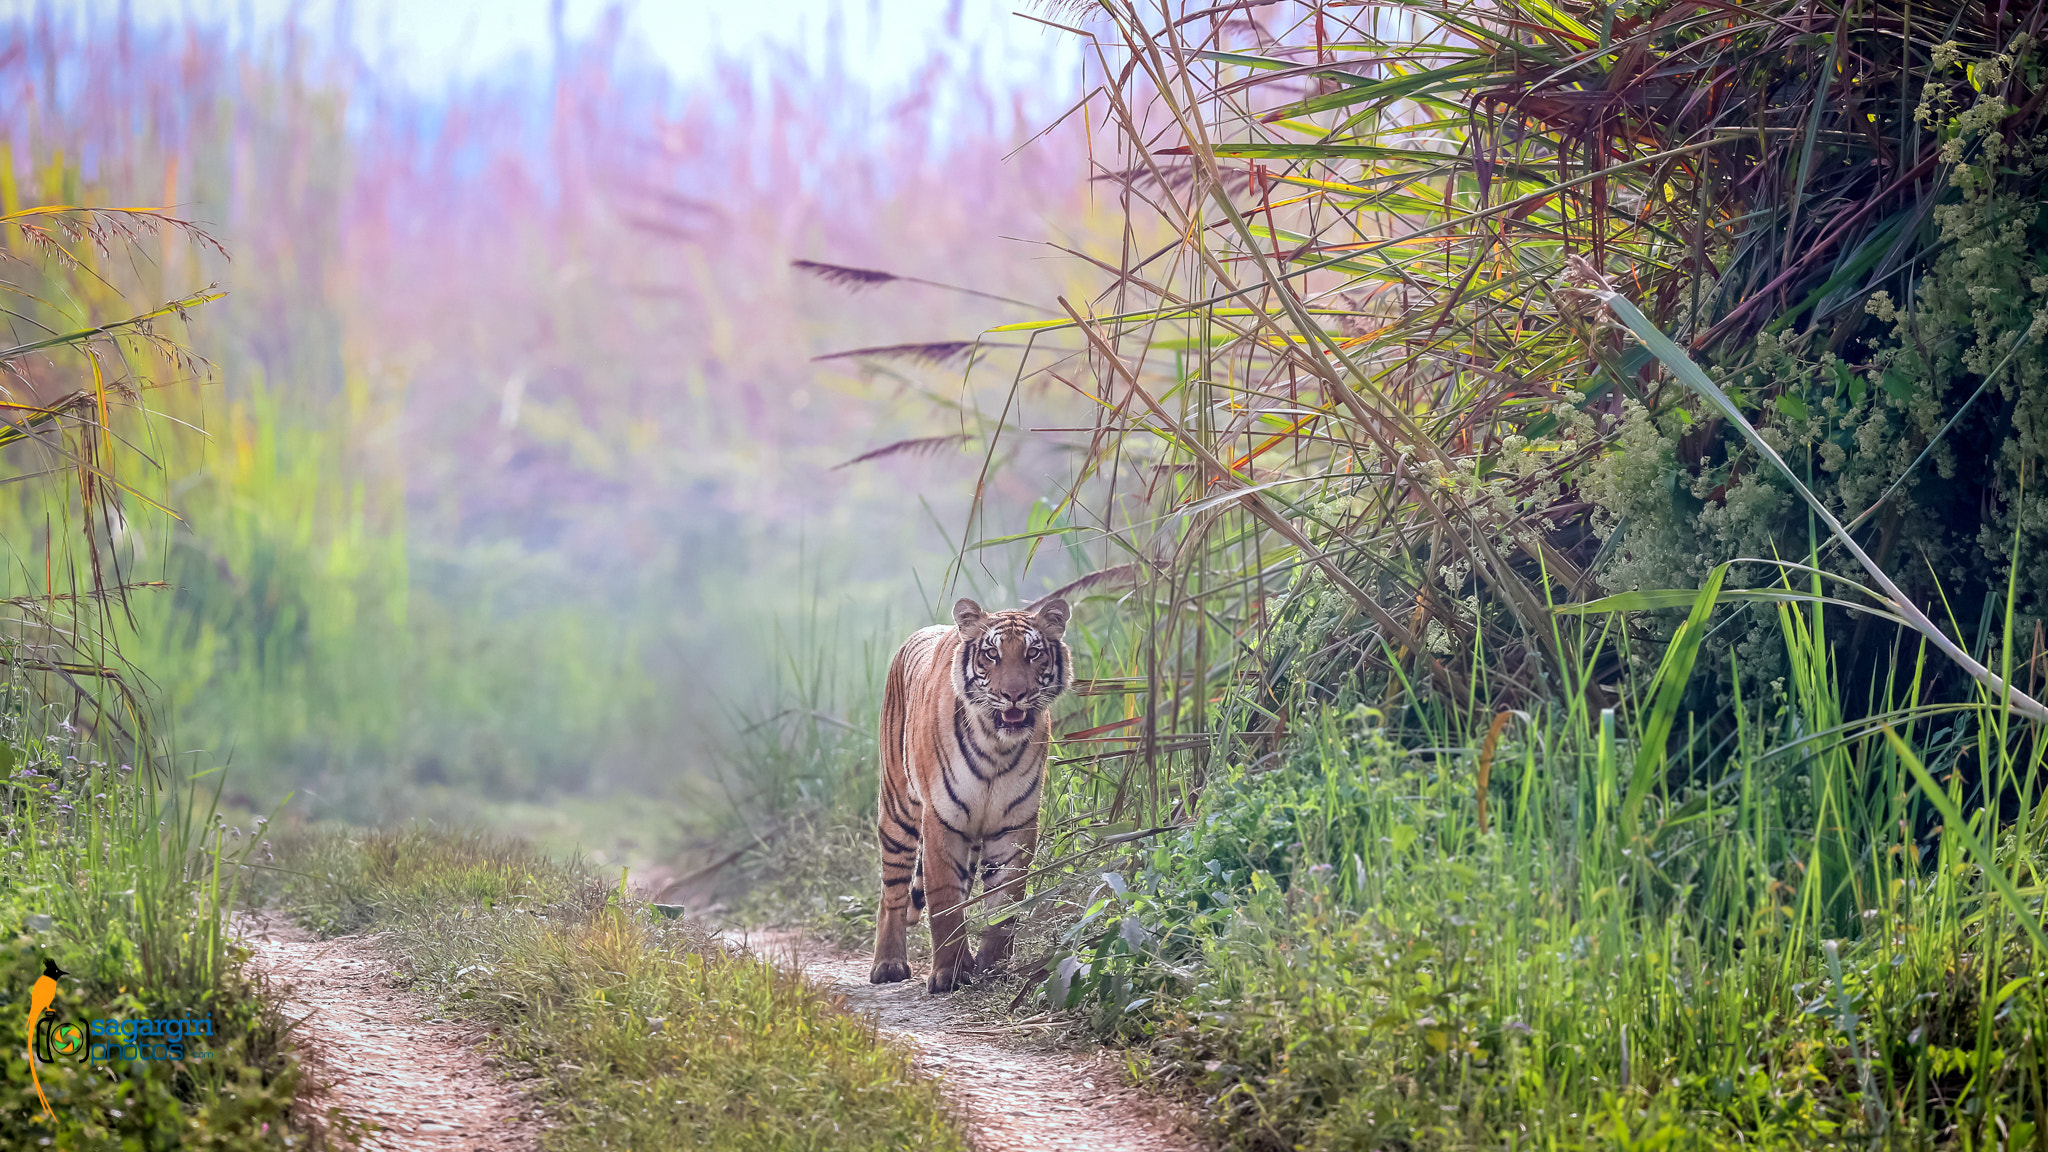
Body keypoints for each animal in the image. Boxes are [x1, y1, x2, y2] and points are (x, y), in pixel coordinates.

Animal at [872, 590, 1081, 988]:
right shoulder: (941, 820)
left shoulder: (1014, 825)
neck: (996, 746)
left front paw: (992, 967)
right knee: (892, 891)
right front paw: (948, 975)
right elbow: (945, 904)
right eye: (991, 654)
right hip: (898, 811)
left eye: (1033, 653)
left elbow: (1004, 903)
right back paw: (888, 965)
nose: (1013, 694)